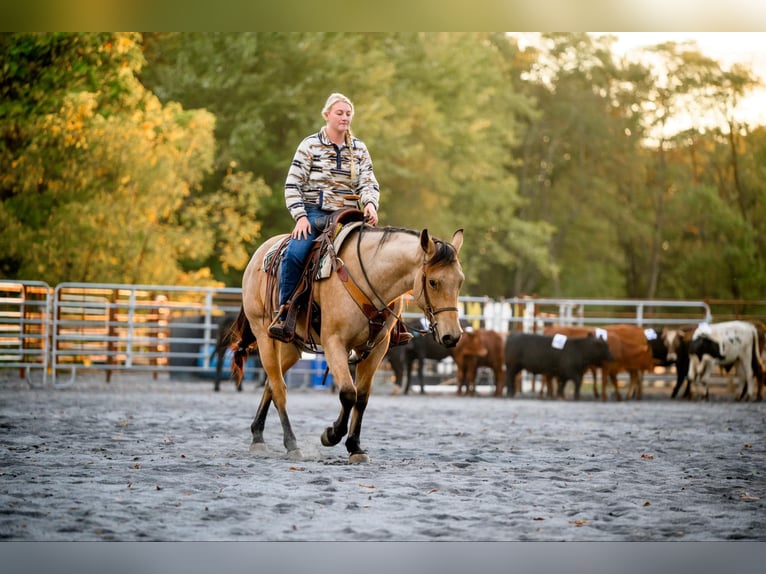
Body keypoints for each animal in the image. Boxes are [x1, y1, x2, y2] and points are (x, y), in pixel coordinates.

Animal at [231, 223, 464, 466]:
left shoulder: (376, 349)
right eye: (433, 282)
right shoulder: (334, 343)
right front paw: (331, 435)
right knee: (279, 389)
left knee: (270, 382)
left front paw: (355, 447)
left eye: (460, 281)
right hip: (263, 335)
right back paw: (291, 444)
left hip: (291, 346)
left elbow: (361, 397)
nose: (452, 335)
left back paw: (257, 435)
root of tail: (258, 256)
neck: (369, 279)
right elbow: (347, 393)